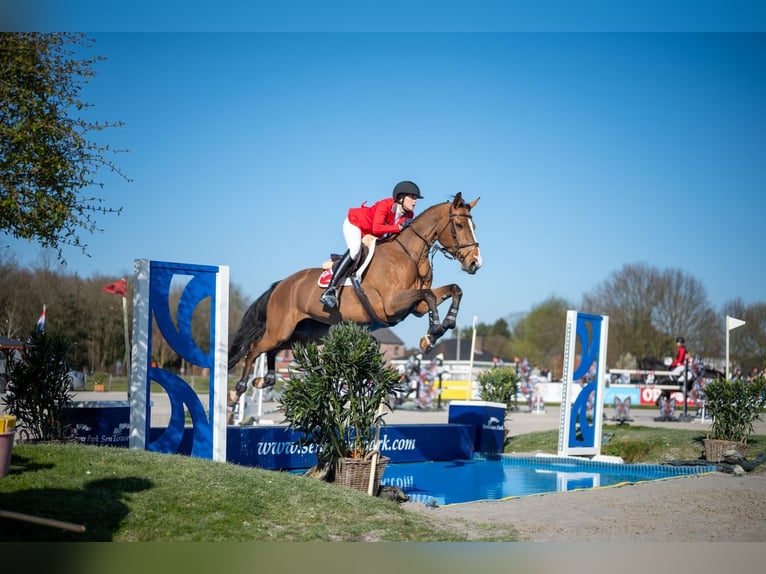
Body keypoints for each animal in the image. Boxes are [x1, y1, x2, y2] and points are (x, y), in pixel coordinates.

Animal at [228, 193, 482, 395]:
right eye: (460, 225)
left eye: (474, 227)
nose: (475, 263)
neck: (409, 254)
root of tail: (281, 284)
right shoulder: (391, 304)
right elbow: (429, 296)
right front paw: (433, 332)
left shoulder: (415, 307)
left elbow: (453, 290)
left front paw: (441, 328)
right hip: (281, 328)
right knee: (254, 348)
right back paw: (239, 389)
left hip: (305, 333)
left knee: (273, 348)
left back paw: (266, 379)